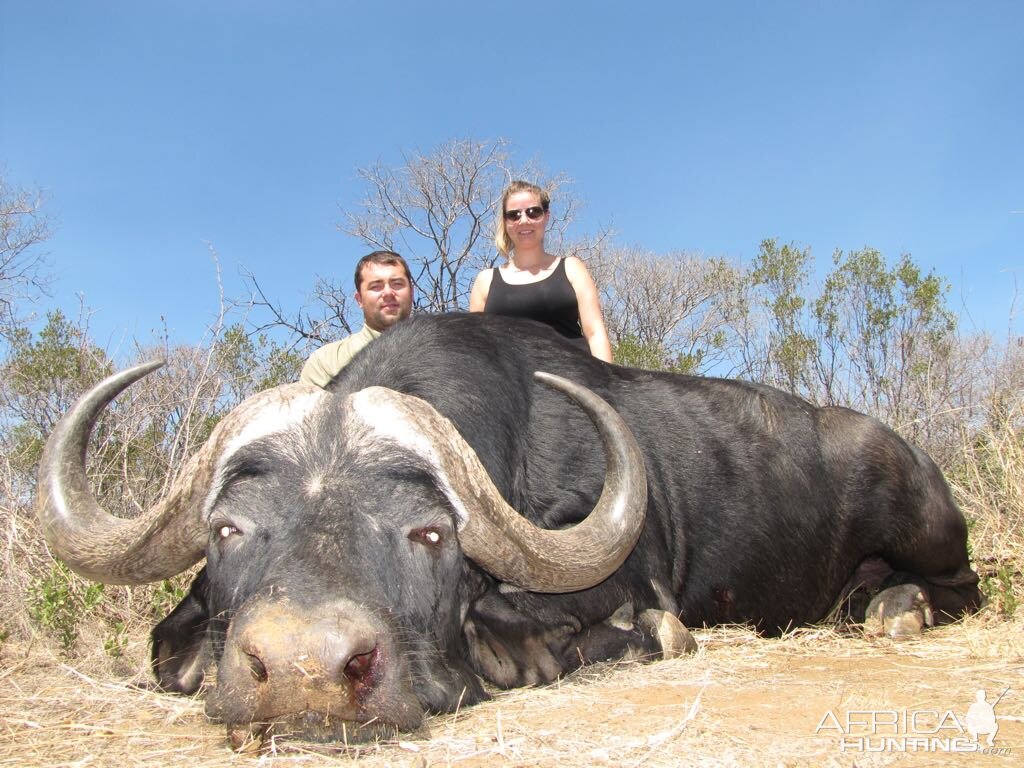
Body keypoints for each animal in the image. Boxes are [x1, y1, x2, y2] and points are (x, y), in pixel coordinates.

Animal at [36, 313, 978, 753]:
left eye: (427, 535)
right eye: (229, 529)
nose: (304, 672)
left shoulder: (631, 584)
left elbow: (592, 626)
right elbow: (170, 651)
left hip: (928, 524)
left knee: (960, 587)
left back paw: (895, 607)